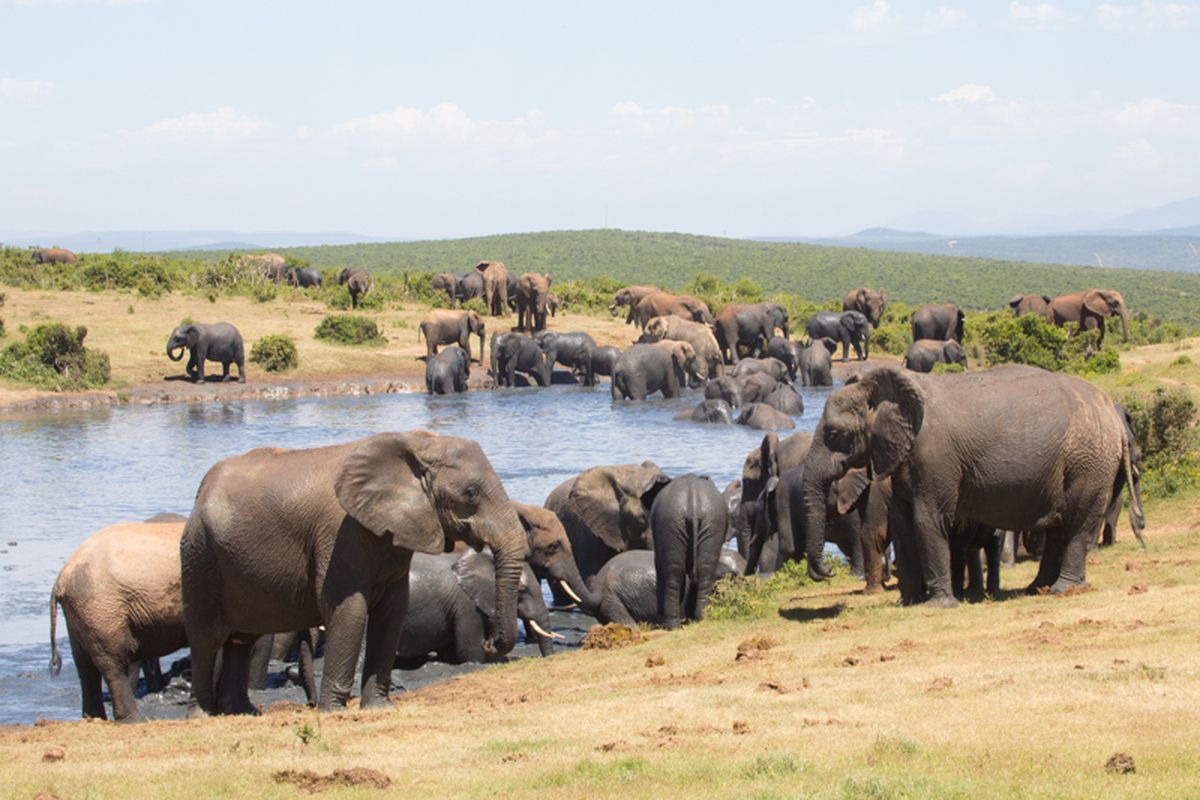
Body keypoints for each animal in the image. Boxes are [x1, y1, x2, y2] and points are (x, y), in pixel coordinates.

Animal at [50, 520, 188, 722]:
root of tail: (61, 578)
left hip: (80, 615)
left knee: (85, 666)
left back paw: (94, 718)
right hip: (102, 610)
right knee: (113, 664)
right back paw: (134, 721)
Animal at [179, 430, 528, 714]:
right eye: (470, 493)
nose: (490, 644)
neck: (418, 443)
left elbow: (393, 611)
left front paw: (379, 708)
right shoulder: (341, 534)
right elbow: (349, 608)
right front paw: (334, 712)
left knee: (242, 638)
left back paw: (242, 713)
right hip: (199, 556)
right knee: (206, 638)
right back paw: (203, 715)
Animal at [649, 475, 729, 629]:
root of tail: (693, 505)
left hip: (670, 524)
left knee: (673, 574)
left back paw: (672, 626)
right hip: (712, 522)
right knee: (705, 571)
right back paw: (702, 619)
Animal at [797, 365, 1145, 606]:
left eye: (834, 433)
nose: (828, 572)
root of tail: (1113, 414)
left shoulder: (935, 457)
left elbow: (927, 519)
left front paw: (939, 605)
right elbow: (903, 522)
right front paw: (909, 603)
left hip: (1089, 461)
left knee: (1077, 523)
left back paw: (1062, 589)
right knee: (1060, 527)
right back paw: (1037, 589)